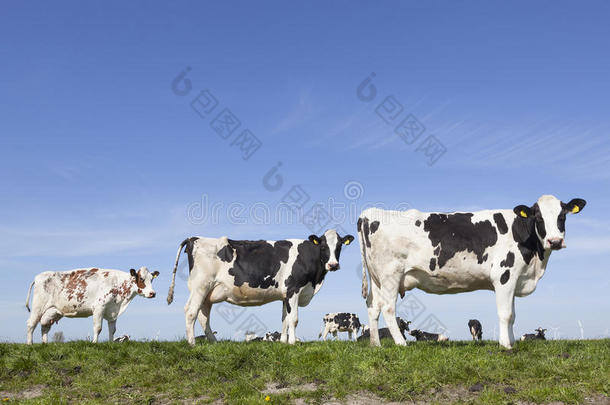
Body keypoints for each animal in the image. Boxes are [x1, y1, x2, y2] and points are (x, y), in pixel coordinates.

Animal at [25, 266, 159, 344]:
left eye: (152, 279)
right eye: (141, 279)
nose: (152, 293)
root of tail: (38, 276)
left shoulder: (112, 311)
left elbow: (112, 330)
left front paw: (111, 344)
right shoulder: (99, 307)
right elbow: (98, 328)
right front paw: (94, 343)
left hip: (51, 311)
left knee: (45, 326)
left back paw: (45, 344)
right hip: (38, 307)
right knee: (31, 324)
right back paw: (30, 344)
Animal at [166, 230, 354, 344]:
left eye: (339, 246)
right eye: (323, 246)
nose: (333, 264)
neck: (315, 282)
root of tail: (194, 238)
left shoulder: (285, 295)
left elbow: (285, 319)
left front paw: (284, 342)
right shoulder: (293, 289)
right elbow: (294, 319)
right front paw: (293, 342)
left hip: (208, 293)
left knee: (203, 316)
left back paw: (213, 342)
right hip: (200, 286)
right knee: (191, 312)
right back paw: (192, 343)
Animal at [356, 195, 584, 348]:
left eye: (562, 217)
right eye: (538, 217)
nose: (555, 241)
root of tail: (369, 213)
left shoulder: (514, 278)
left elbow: (513, 315)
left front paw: (511, 341)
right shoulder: (504, 275)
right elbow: (505, 314)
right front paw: (506, 346)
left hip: (378, 279)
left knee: (373, 307)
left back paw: (376, 344)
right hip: (390, 275)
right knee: (388, 308)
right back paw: (401, 343)